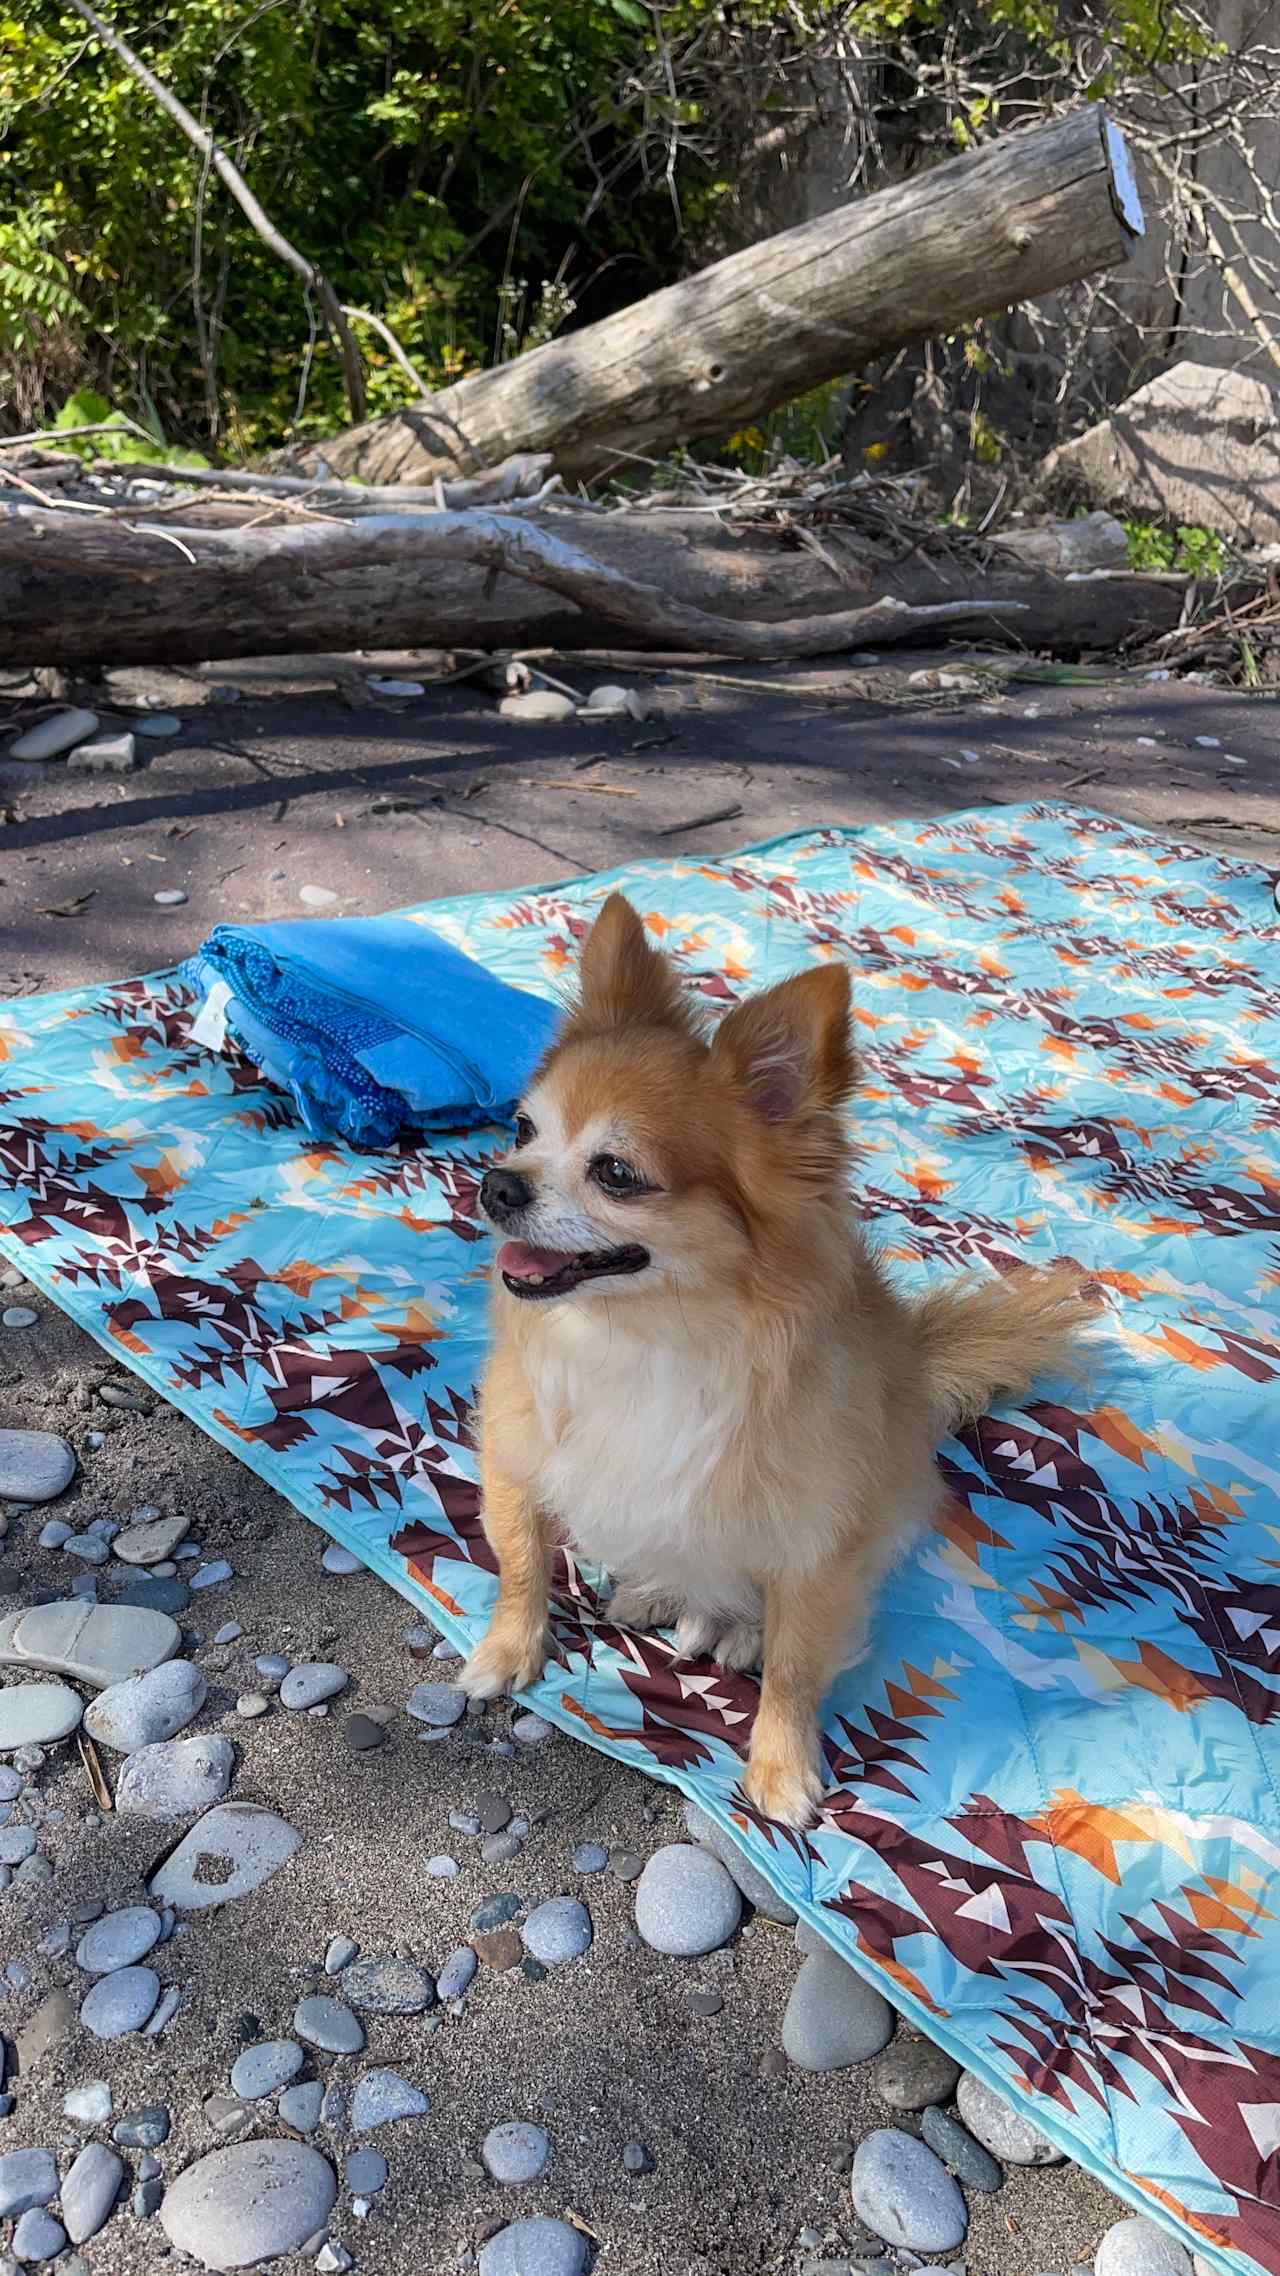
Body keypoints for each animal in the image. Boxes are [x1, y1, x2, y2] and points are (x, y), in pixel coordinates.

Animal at [453, 896, 1079, 1820]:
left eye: (616, 1172)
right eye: (523, 1130)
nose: (499, 1184)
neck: (645, 1334)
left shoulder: (820, 1539)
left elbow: (794, 1664)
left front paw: (780, 1769)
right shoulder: (516, 1450)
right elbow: (520, 1563)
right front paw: (506, 1652)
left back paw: (734, 1624)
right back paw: (654, 1589)